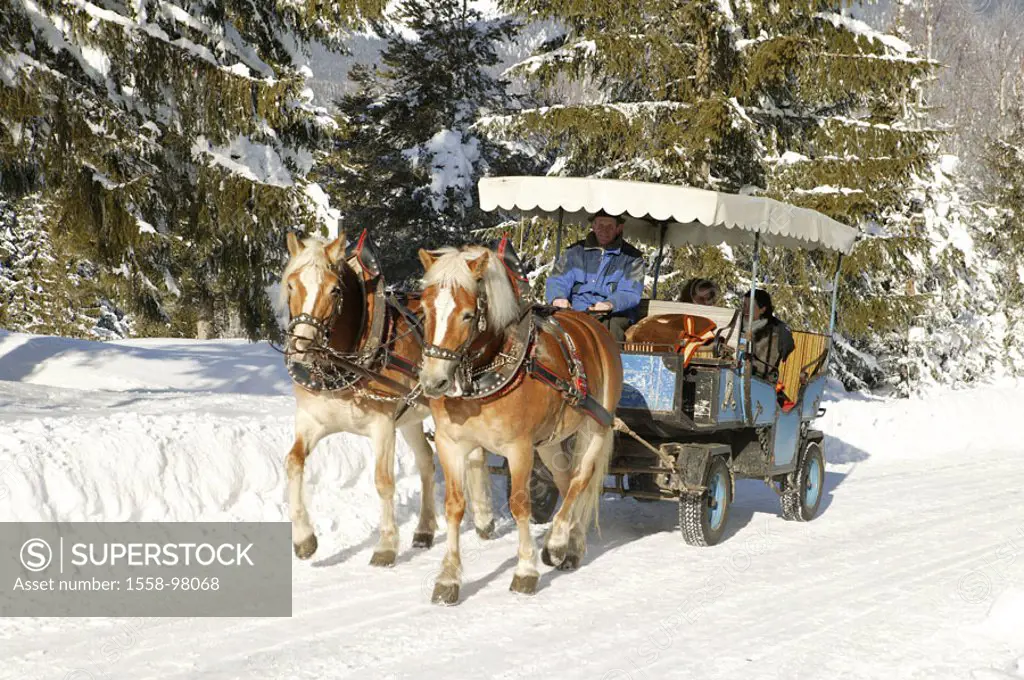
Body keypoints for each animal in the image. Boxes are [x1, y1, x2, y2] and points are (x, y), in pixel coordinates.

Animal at [276, 233, 491, 569]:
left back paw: (483, 518)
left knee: (475, 456)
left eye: (334, 290)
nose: (302, 346)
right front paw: (304, 539)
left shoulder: (383, 425)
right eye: (291, 284)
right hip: (412, 417)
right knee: (426, 461)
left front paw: (386, 545)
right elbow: (293, 462)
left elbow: (383, 481)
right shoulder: (312, 420)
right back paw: (424, 530)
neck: (343, 362)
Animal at [415, 244, 622, 606]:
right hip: (551, 442)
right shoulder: (449, 442)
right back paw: (568, 544)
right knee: (567, 481)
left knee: (582, 479)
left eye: (468, 314)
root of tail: (594, 327)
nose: (433, 381)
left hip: (597, 426)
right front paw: (448, 578)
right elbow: (454, 507)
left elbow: (520, 504)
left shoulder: (520, 447)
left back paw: (559, 542)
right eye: (425, 311)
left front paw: (525, 571)